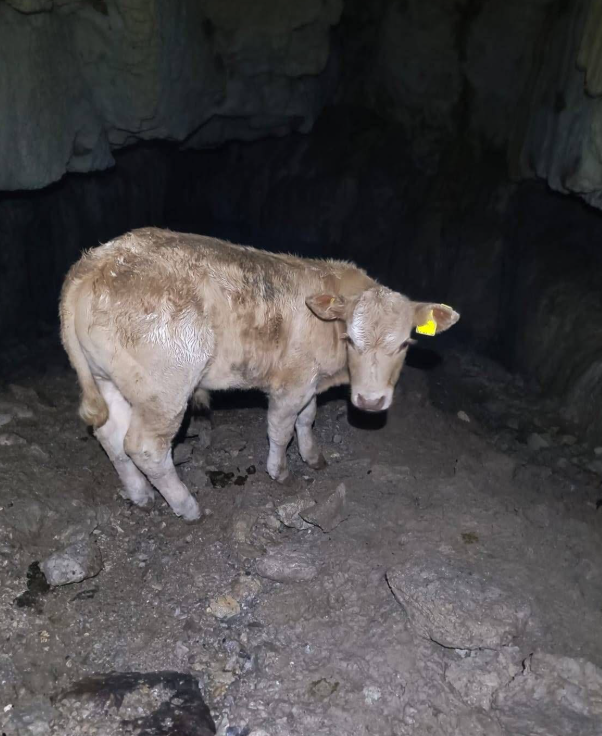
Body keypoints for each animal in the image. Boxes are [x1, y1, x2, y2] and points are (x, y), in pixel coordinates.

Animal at [59, 228, 459, 521]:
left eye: (405, 343)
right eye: (351, 339)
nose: (371, 401)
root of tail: (93, 262)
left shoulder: (310, 381)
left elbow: (307, 419)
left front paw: (313, 457)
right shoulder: (291, 382)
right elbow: (282, 429)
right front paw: (280, 471)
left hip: (108, 379)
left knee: (110, 435)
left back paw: (140, 493)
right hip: (164, 388)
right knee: (145, 447)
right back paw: (187, 506)